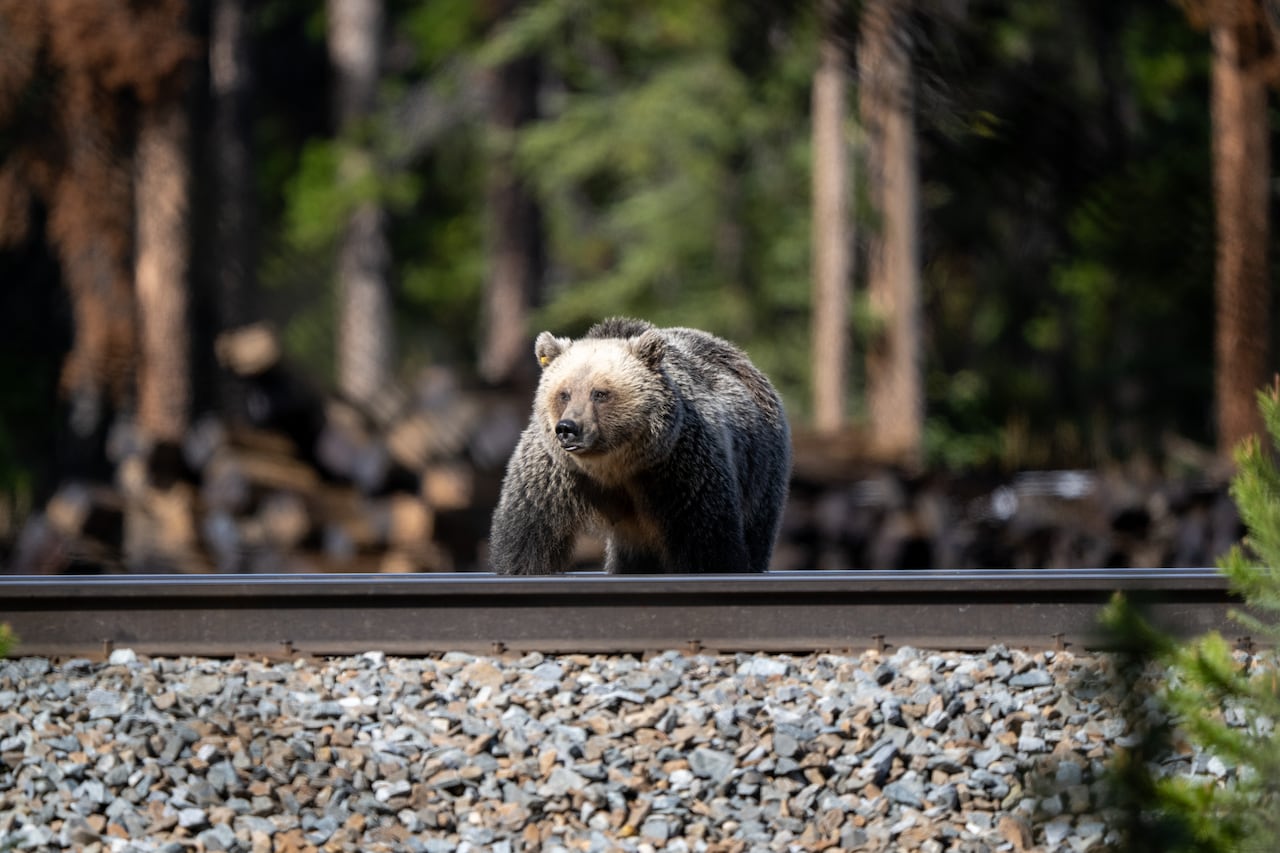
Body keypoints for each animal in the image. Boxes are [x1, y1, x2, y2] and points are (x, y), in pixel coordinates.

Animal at [488, 317, 791, 575]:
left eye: (600, 393)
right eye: (564, 393)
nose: (568, 429)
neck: (613, 465)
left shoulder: (679, 468)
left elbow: (708, 542)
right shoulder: (555, 474)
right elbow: (528, 538)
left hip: (761, 468)